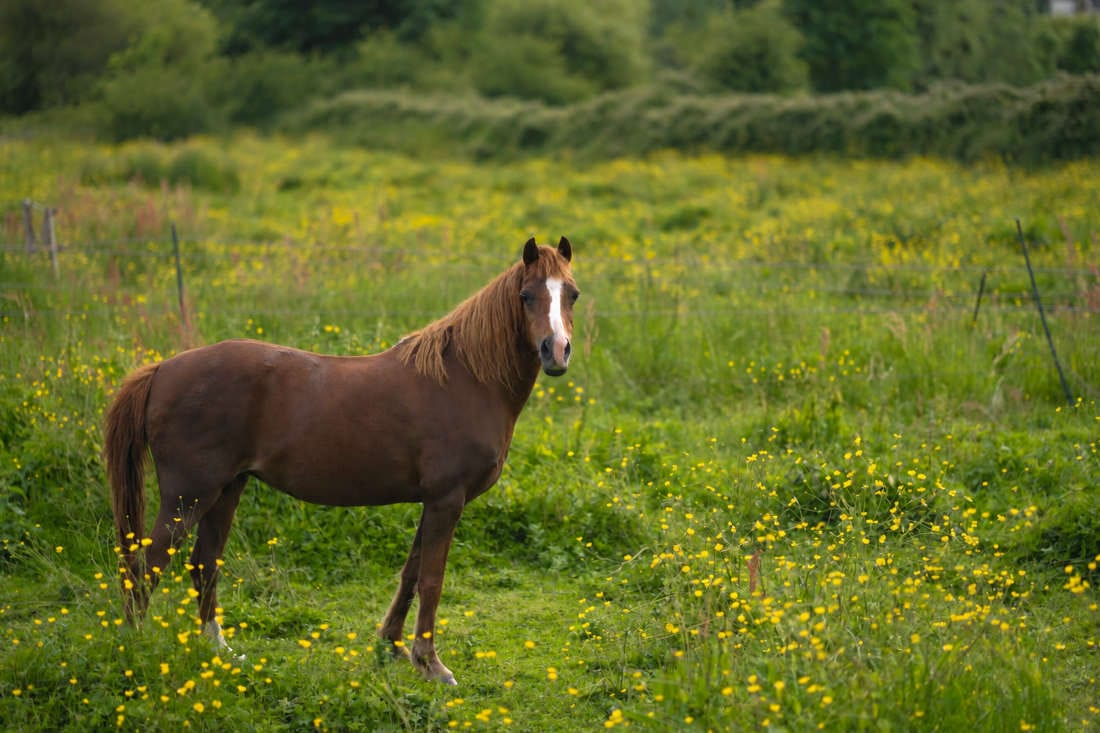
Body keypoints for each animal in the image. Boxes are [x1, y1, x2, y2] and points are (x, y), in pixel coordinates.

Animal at [104, 237, 578, 685]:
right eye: (526, 295)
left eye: (571, 294)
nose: (556, 351)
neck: (465, 379)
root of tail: (163, 370)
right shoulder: (447, 500)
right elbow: (432, 579)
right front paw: (431, 665)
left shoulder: (432, 502)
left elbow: (410, 573)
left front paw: (392, 647)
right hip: (189, 496)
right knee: (146, 565)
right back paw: (134, 648)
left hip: (225, 491)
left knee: (203, 563)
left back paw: (218, 649)